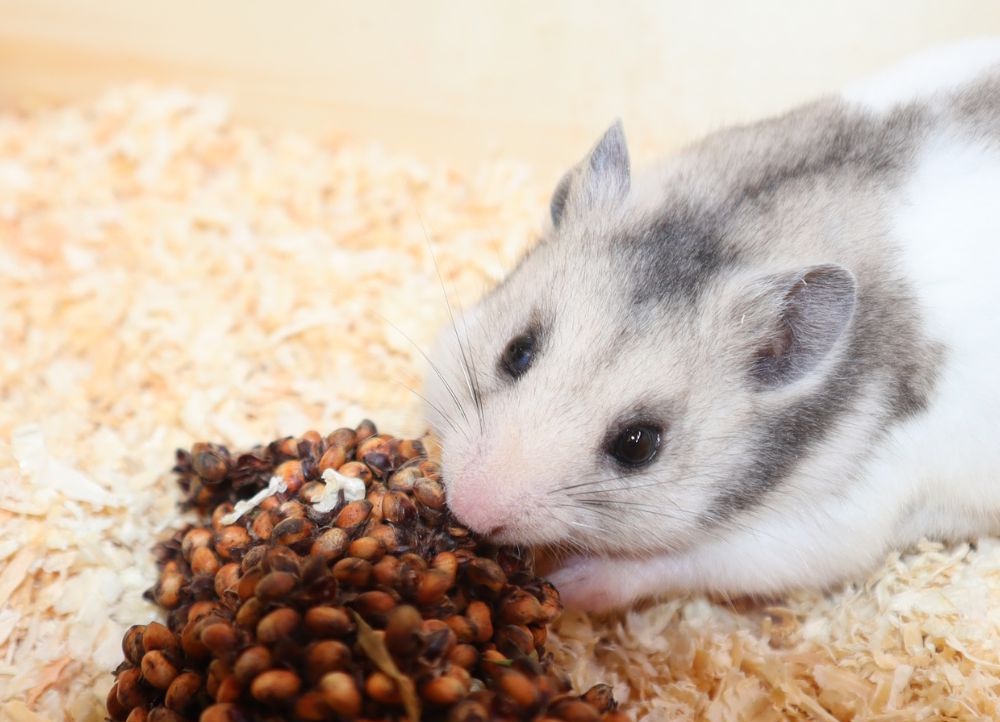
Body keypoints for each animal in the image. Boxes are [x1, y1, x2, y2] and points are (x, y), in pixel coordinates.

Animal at [423, 40, 1000, 611]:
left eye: (638, 445)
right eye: (516, 352)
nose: (468, 507)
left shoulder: (817, 529)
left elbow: (671, 561)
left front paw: (569, 585)